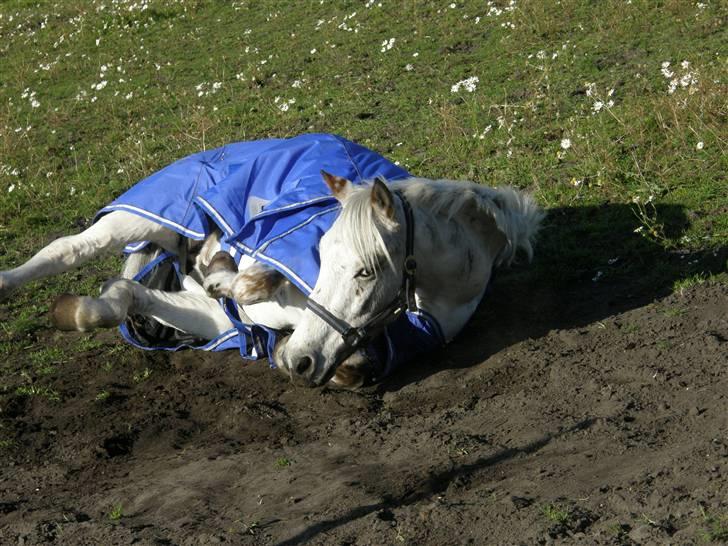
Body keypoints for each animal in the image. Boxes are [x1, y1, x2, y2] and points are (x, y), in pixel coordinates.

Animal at [0, 132, 544, 386]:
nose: (302, 359)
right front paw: (228, 271)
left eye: (366, 270)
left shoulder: (219, 320)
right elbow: (242, 282)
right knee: (68, 248)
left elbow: (127, 296)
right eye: (320, 254)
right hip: (141, 218)